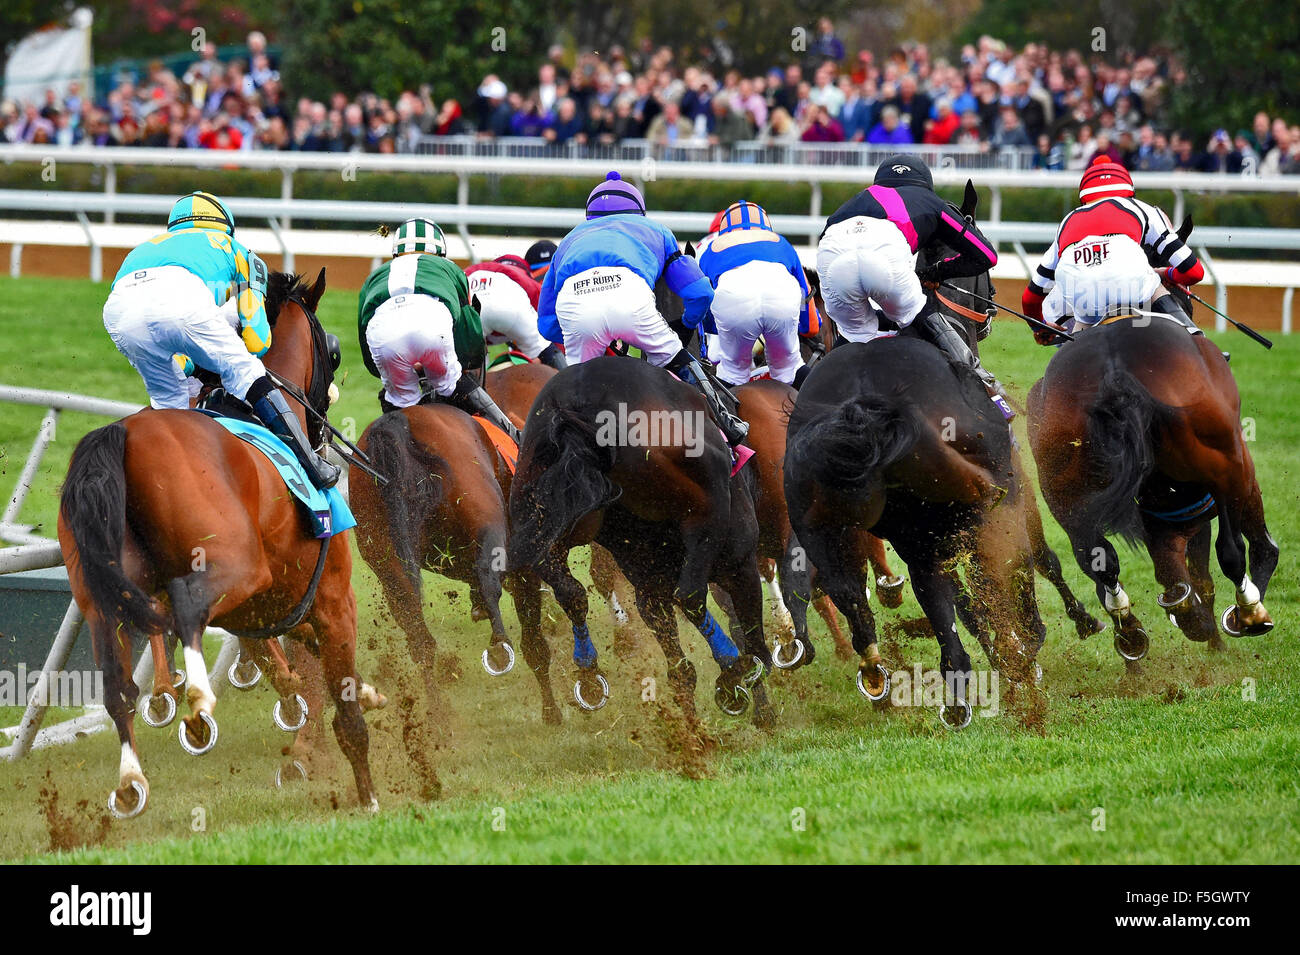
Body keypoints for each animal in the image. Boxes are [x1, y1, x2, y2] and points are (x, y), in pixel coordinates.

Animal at [61, 268, 377, 815]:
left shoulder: (270, 607)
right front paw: (369, 794)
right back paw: (196, 702)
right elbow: (343, 699)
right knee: (183, 609)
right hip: (234, 567)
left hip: (100, 598)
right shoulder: (333, 598)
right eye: (334, 353)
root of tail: (117, 437)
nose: (325, 412)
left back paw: (132, 779)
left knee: (118, 685)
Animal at [1029, 317, 1274, 670]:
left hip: (1063, 493)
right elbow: (1215, 567)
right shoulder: (1221, 489)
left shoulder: (1166, 524)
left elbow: (1176, 576)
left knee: (1099, 561)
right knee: (1232, 550)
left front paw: (1192, 620)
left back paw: (1131, 634)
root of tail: (1114, 376)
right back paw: (1250, 612)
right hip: (1227, 463)